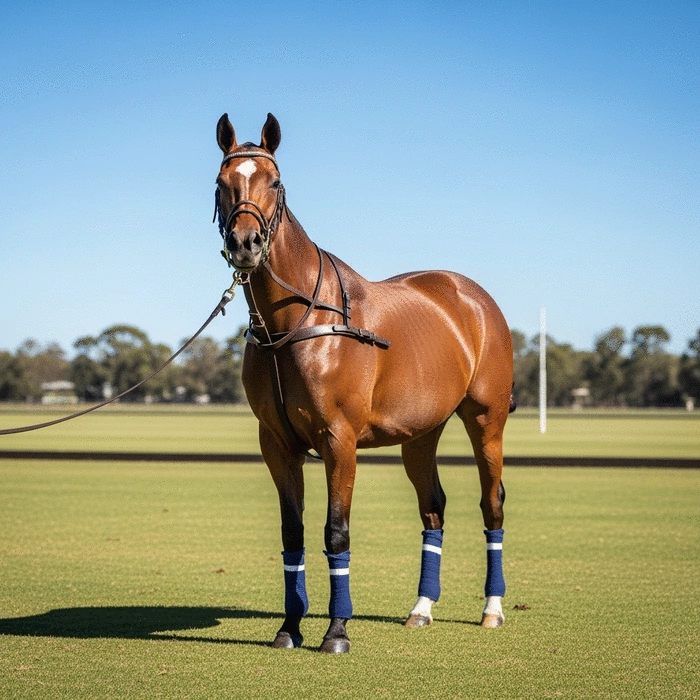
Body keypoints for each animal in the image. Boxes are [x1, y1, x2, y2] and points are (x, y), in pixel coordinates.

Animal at [213, 113, 514, 653]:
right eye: (221, 183)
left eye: (275, 181)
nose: (245, 244)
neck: (293, 322)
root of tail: (475, 296)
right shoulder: (277, 443)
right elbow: (293, 533)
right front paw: (290, 626)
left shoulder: (339, 439)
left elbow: (336, 532)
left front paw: (336, 631)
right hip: (421, 433)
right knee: (433, 507)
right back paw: (422, 608)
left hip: (487, 418)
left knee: (492, 503)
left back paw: (493, 608)